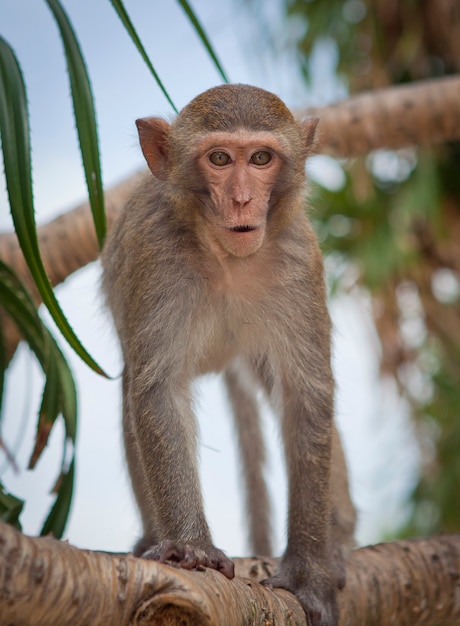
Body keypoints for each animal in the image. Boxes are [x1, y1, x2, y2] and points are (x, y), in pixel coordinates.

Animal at [101, 84, 356, 624]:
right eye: (219, 159)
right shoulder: (156, 255)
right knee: (133, 386)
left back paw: (338, 541)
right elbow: (158, 394)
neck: (226, 259)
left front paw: (310, 570)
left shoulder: (300, 258)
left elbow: (307, 400)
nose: (241, 199)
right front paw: (192, 546)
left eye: (260, 158)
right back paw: (154, 540)